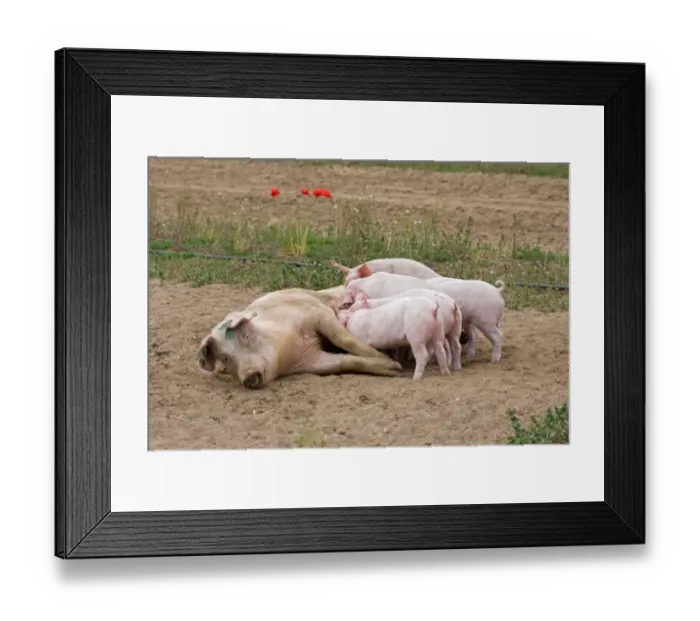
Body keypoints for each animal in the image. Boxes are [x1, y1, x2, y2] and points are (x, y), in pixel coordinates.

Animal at [197, 288, 402, 389]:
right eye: (225, 357)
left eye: (246, 336)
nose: (248, 375)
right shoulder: (311, 361)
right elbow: (344, 363)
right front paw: (393, 369)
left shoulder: (317, 314)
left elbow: (344, 339)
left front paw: (392, 363)